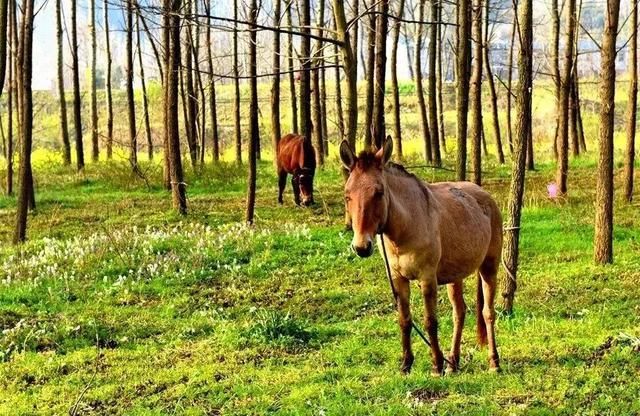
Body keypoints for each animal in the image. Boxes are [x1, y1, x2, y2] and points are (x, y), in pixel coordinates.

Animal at [340, 138, 500, 376]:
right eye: (347, 195)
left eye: (379, 192)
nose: (361, 247)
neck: (406, 227)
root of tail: (485, 195)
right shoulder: (398, 280)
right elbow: (405, 320)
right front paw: (406, 365)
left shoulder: (427, 279)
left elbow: (430, 322)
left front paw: (436, 365)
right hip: (455, 276)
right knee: (459, 313)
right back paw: (453, 362)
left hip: (489, 267)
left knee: (488, 312)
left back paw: (493, 363)